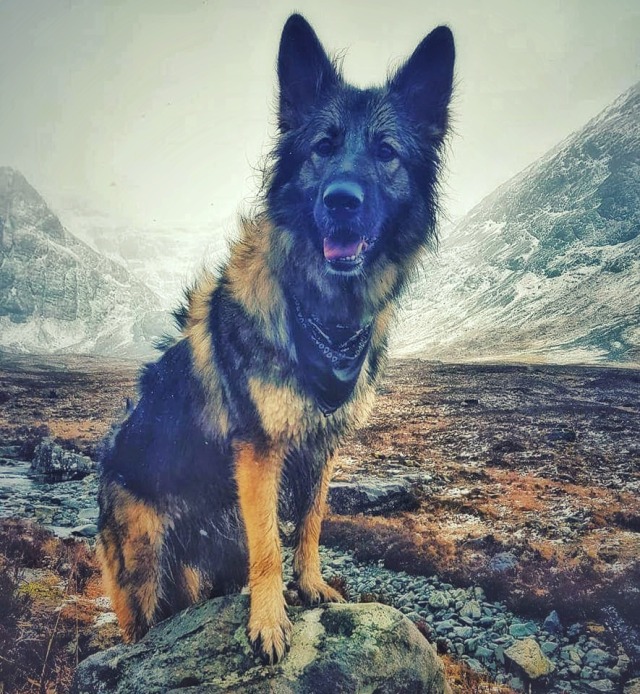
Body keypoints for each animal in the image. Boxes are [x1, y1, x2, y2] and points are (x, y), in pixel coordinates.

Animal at [96, 10, 456, 664]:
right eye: (324, 147)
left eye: (386, 152)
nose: (341, 201)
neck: (323, 316)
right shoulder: (260, 450)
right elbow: (267, 541)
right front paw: (269, 620)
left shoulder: (321, 444)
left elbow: (310, 521)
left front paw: (311, 586)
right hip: (143, 570)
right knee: (137, 629)